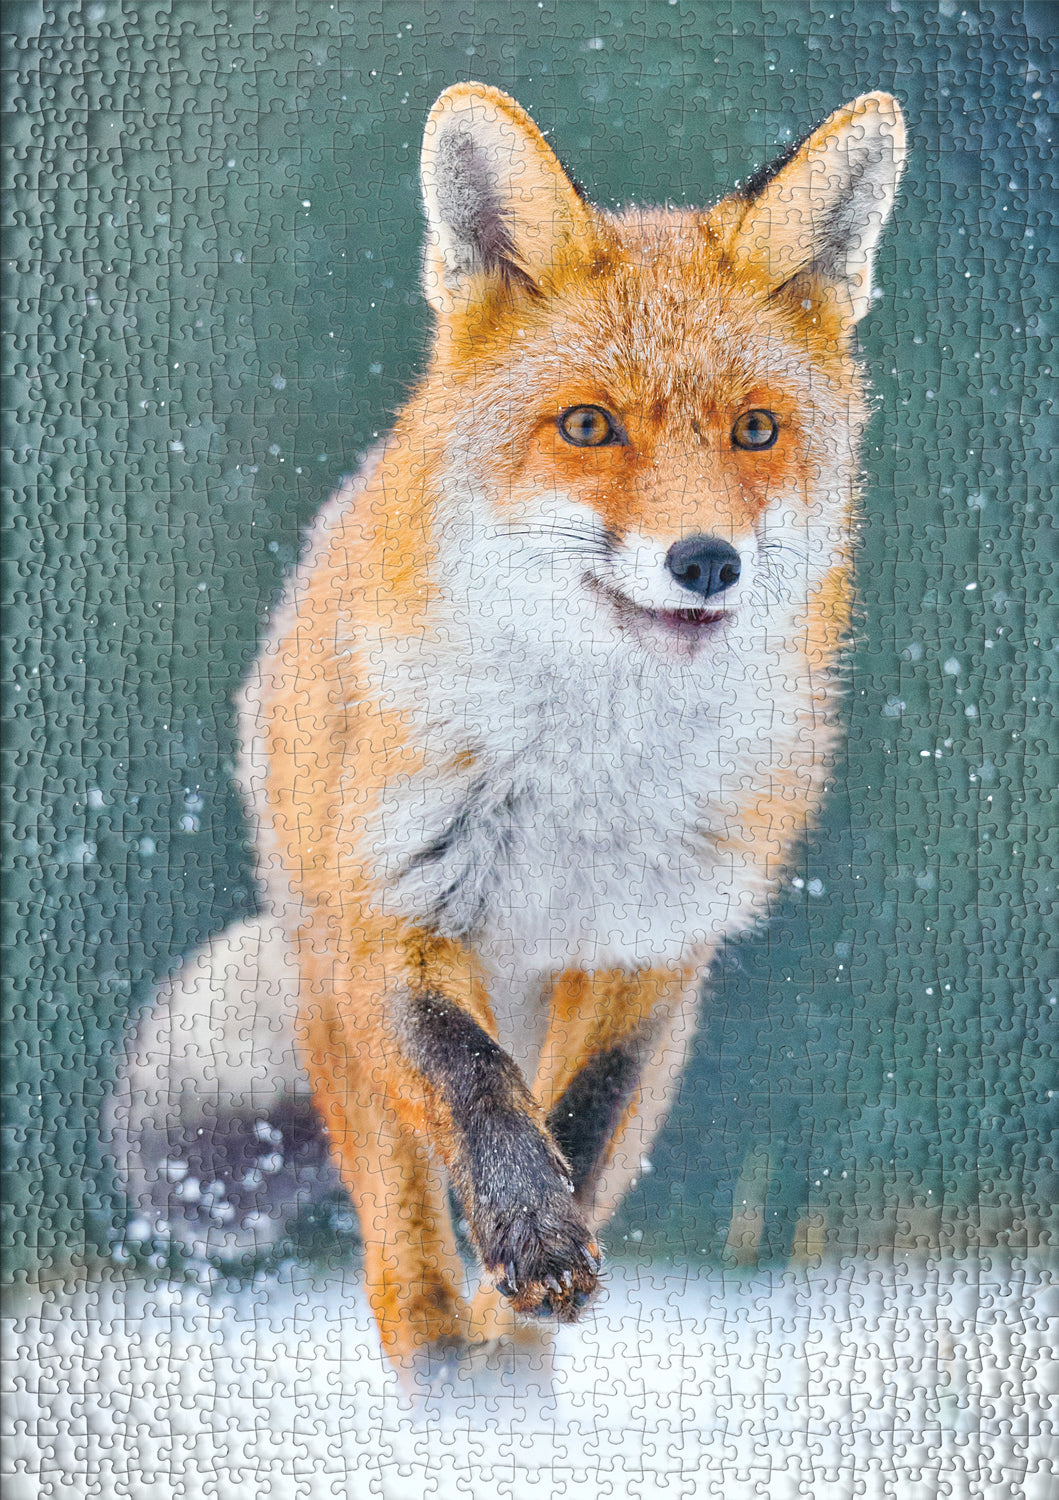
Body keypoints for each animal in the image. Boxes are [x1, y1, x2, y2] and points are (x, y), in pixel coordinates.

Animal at [114, 82, 905, 1368]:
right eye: (588, 427)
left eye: (755, 431)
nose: (706, 562)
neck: (588, 777)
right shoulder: (398, 914)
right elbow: (482, 1088)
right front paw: (529, 1231)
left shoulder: (647, 953)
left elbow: (576, 1126)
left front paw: (545, 1250)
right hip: (339, 1016)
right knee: (412, 1286)